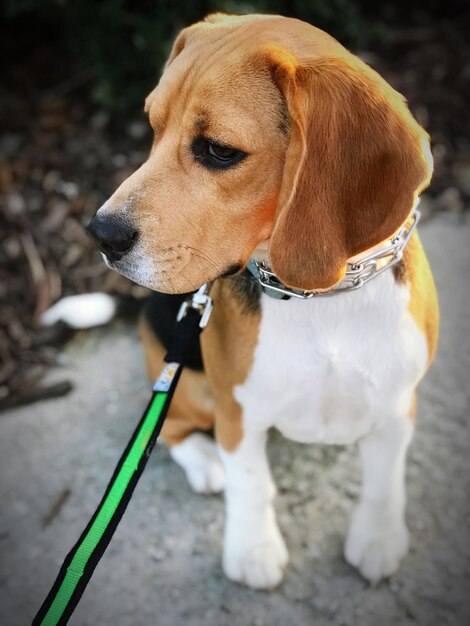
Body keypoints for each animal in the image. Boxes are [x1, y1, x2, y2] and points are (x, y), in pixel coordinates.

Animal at [87, 14, 436, 588]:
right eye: (153, 129)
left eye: (219, 151)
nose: (99, 234)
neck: (321, 297)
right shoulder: (238, 410)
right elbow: (250, 482)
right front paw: (252, 550)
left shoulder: (398, 402)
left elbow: (386, 478)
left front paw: (379, 538)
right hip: (189, 385)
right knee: (172, 432)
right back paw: (205, 463)